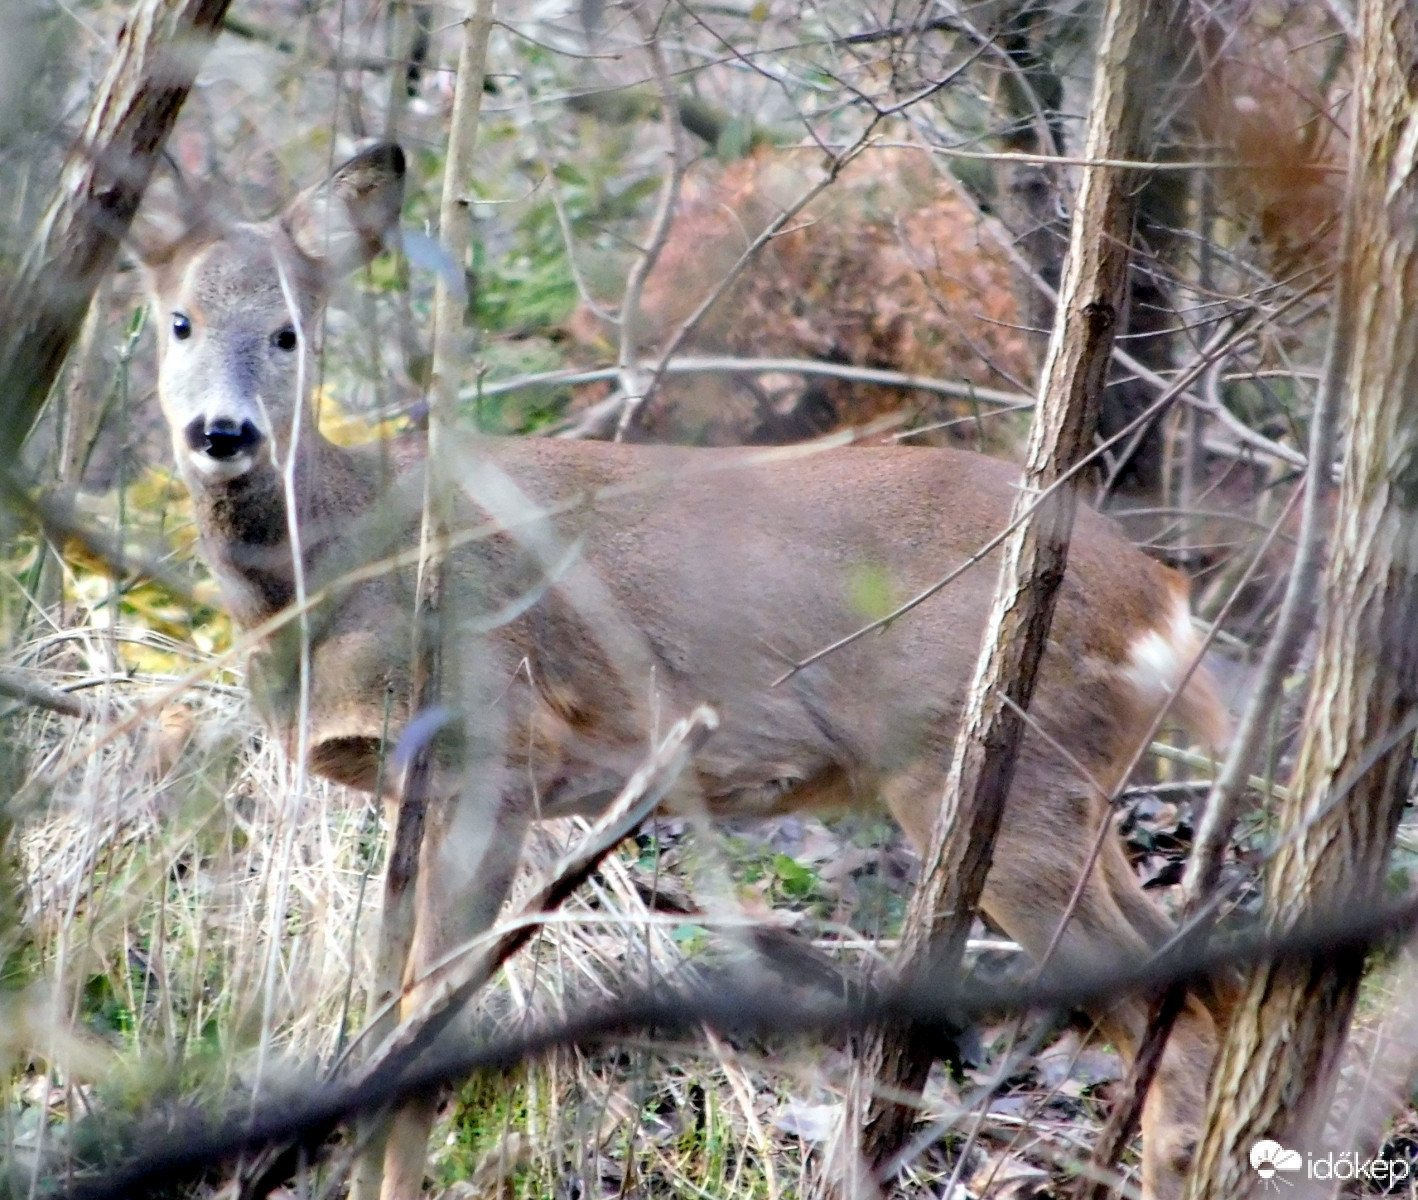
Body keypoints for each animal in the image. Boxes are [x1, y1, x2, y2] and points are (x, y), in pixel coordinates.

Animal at [138, 145, 1236, 1197]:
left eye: (289, 333)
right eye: (179, 321)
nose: (224, 433)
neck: (350, 558)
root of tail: (1162, 601)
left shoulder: (501, 747)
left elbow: (424, 1022)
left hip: (998, 773)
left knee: (1176, 1032)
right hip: (1072, 791)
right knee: (1211, 994)